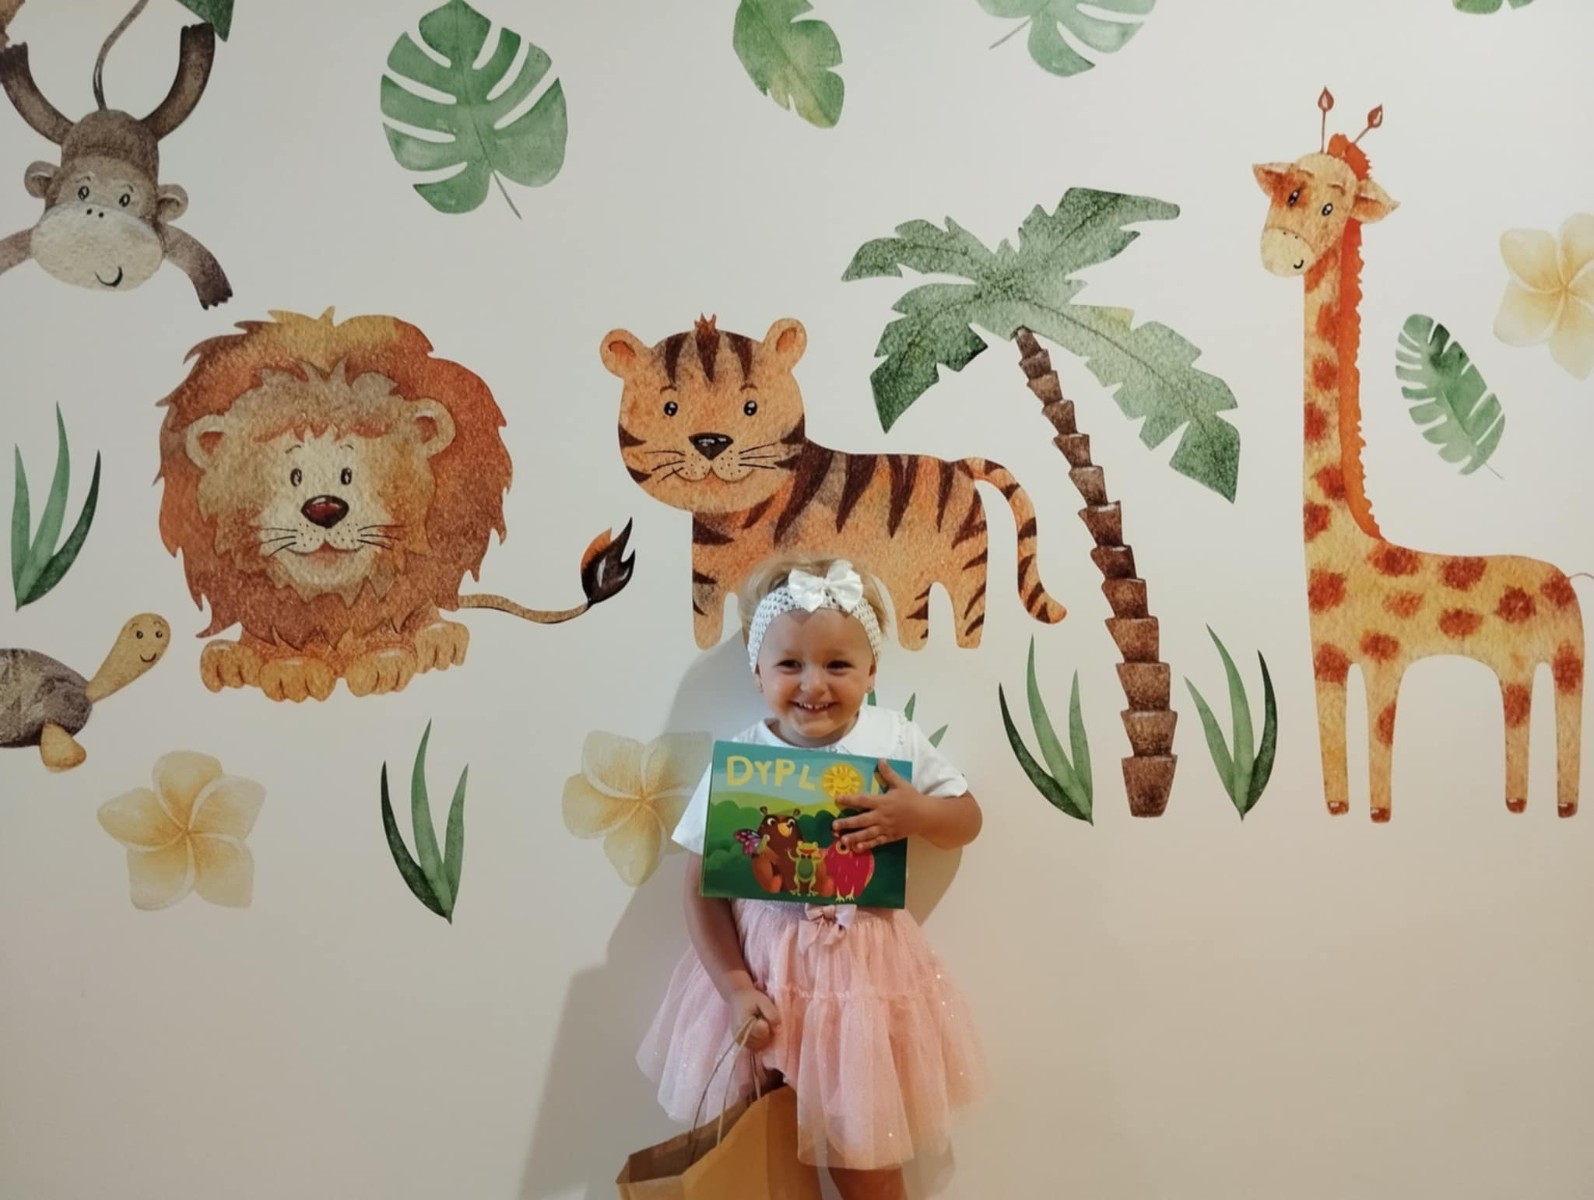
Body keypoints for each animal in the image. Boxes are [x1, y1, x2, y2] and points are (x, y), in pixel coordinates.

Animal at [1252, 90, 1585, 822]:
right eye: (1289, 191)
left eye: (1331, 207)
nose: (1280, 255)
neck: (1347, 548)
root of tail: (1570, 583)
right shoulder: (1326, 658)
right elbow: (1332, 747)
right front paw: (1340, 812)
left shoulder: (1383, 662)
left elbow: (1378, 747)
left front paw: (1376, 816)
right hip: (1527, 668)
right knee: (1523, 724)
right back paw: (1523, 804)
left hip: (1562, 661)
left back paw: (1550, 811)